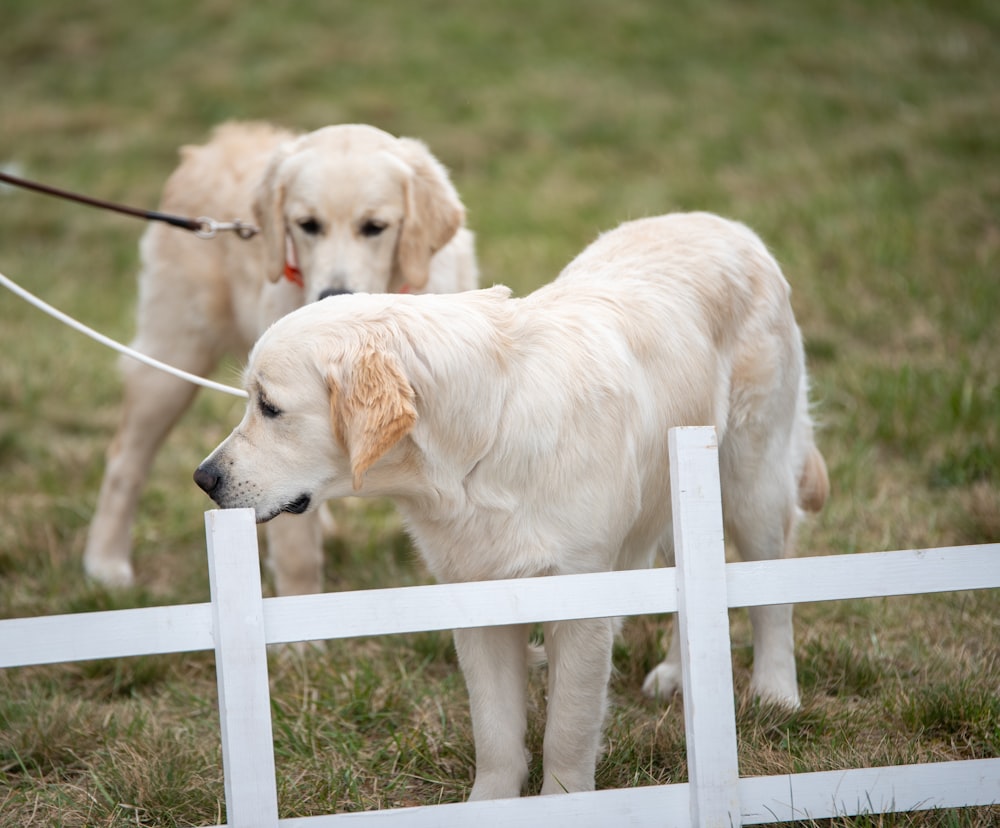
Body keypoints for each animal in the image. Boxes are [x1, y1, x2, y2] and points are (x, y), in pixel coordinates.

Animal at [84, 119, 478, 592]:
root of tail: (217, 141)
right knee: (125, 460)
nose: (333, 294)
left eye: (374, 227)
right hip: (172, 361)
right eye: (307, 225)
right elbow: (296, 555)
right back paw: (105, 561)